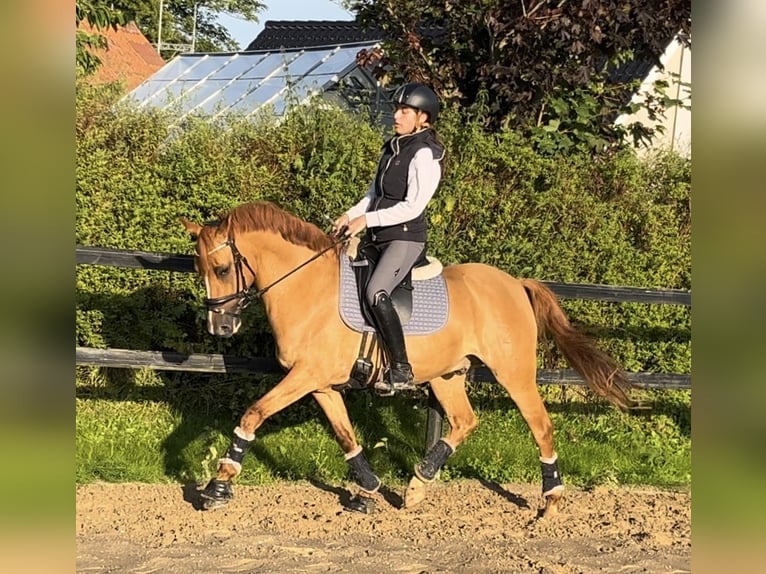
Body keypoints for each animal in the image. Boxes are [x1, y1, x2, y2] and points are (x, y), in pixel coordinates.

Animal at [182, 201, 636, 516]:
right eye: (200, 269)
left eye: (221, 269)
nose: (220, 327)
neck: (307, 287)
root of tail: (515, 283)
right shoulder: (321, 383)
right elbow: (346, 435)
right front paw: (367, 490)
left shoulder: (306, 376)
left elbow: (254, 413)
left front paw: (219, 485)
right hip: (446, 376)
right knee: (465, 421)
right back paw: (418, 485)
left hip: (514, 373)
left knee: (540, 425)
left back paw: (552, 501)